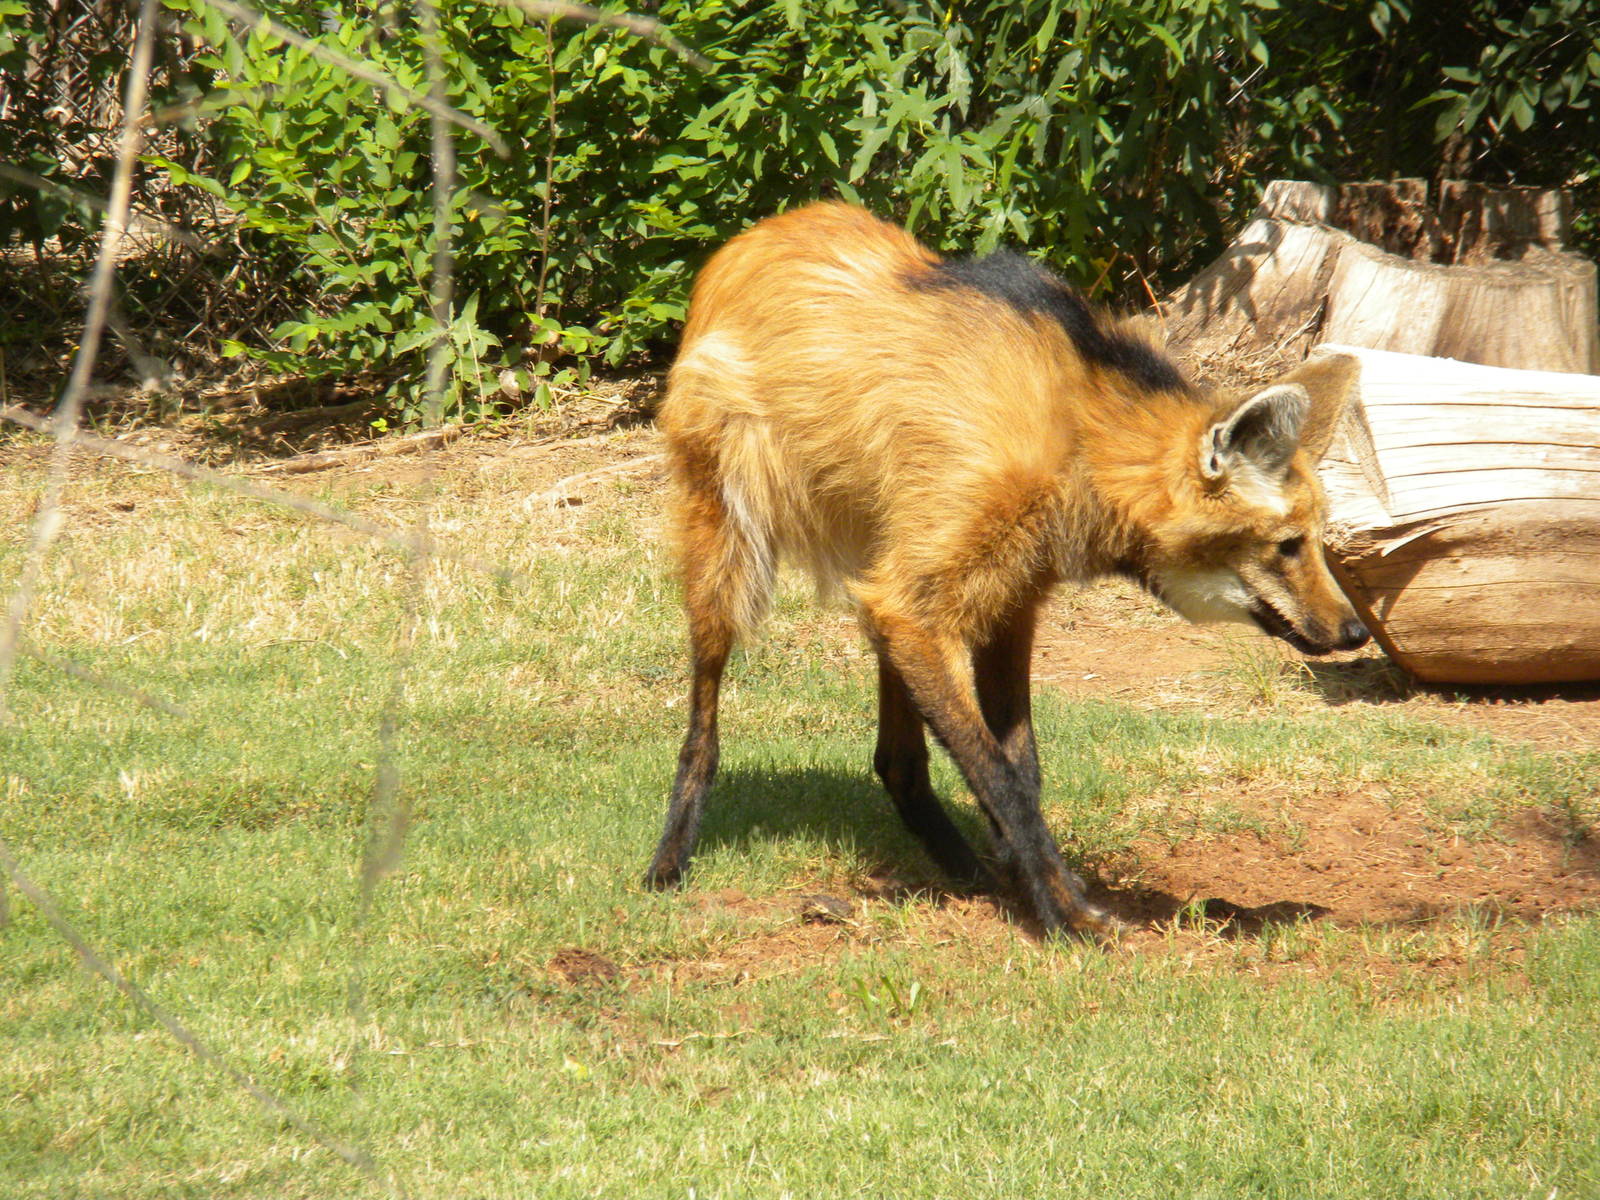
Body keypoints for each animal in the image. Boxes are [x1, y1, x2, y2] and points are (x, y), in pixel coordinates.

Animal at [644, 202, 1368, 937]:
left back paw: (965, 869)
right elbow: (1000, 776)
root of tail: (752, 237)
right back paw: (669, 859)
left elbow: (1021, 772)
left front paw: (1034, 883)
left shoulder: (1010, 601)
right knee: (705, 719)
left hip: (888, 564)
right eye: (1288, 546)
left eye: (1313, 542)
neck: (1077, 447)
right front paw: (1067, 914)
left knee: (896, 758)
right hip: (733, 549)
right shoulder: (933, 593)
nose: (1355, 631)